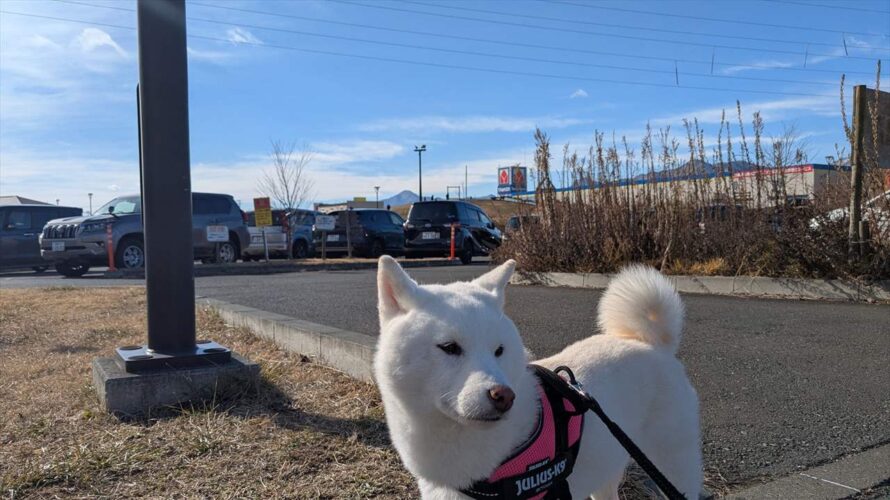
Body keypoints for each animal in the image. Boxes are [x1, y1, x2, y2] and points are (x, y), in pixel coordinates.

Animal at [372, 258, 696, 500]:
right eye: (449, 347)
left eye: (499, 350)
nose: (504, 396)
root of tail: (653, 344)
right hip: (608, 462)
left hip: (672, 464)